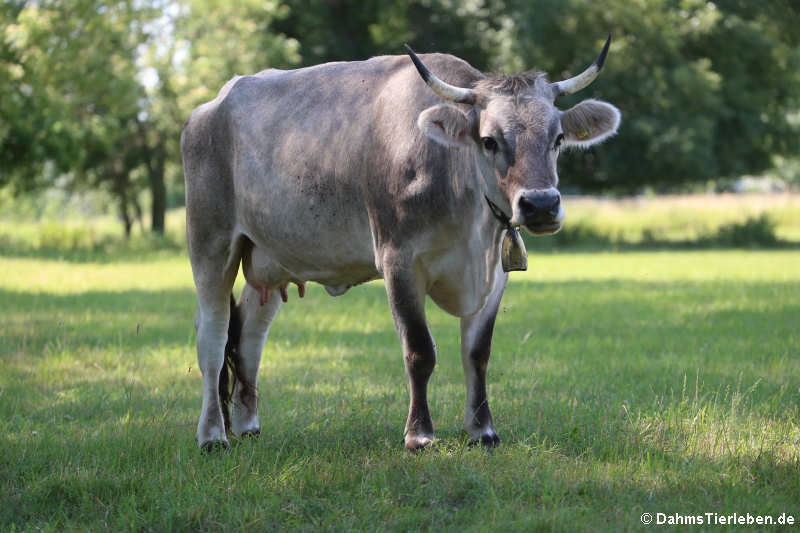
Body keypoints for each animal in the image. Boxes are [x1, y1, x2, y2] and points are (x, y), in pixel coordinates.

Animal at [181, 34, 620, 448]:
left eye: (558, 138)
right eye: (489, 140)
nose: (541, 204)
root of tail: (211, 107)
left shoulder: (496, 273)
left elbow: (477, 353)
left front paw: (483, 431)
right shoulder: (399, 261)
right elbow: (420, 351)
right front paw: (420, 434)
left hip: (271, 257)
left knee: (249, 336)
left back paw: (247, 425)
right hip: (211, 242)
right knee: (214, 337)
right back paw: (212, 435)